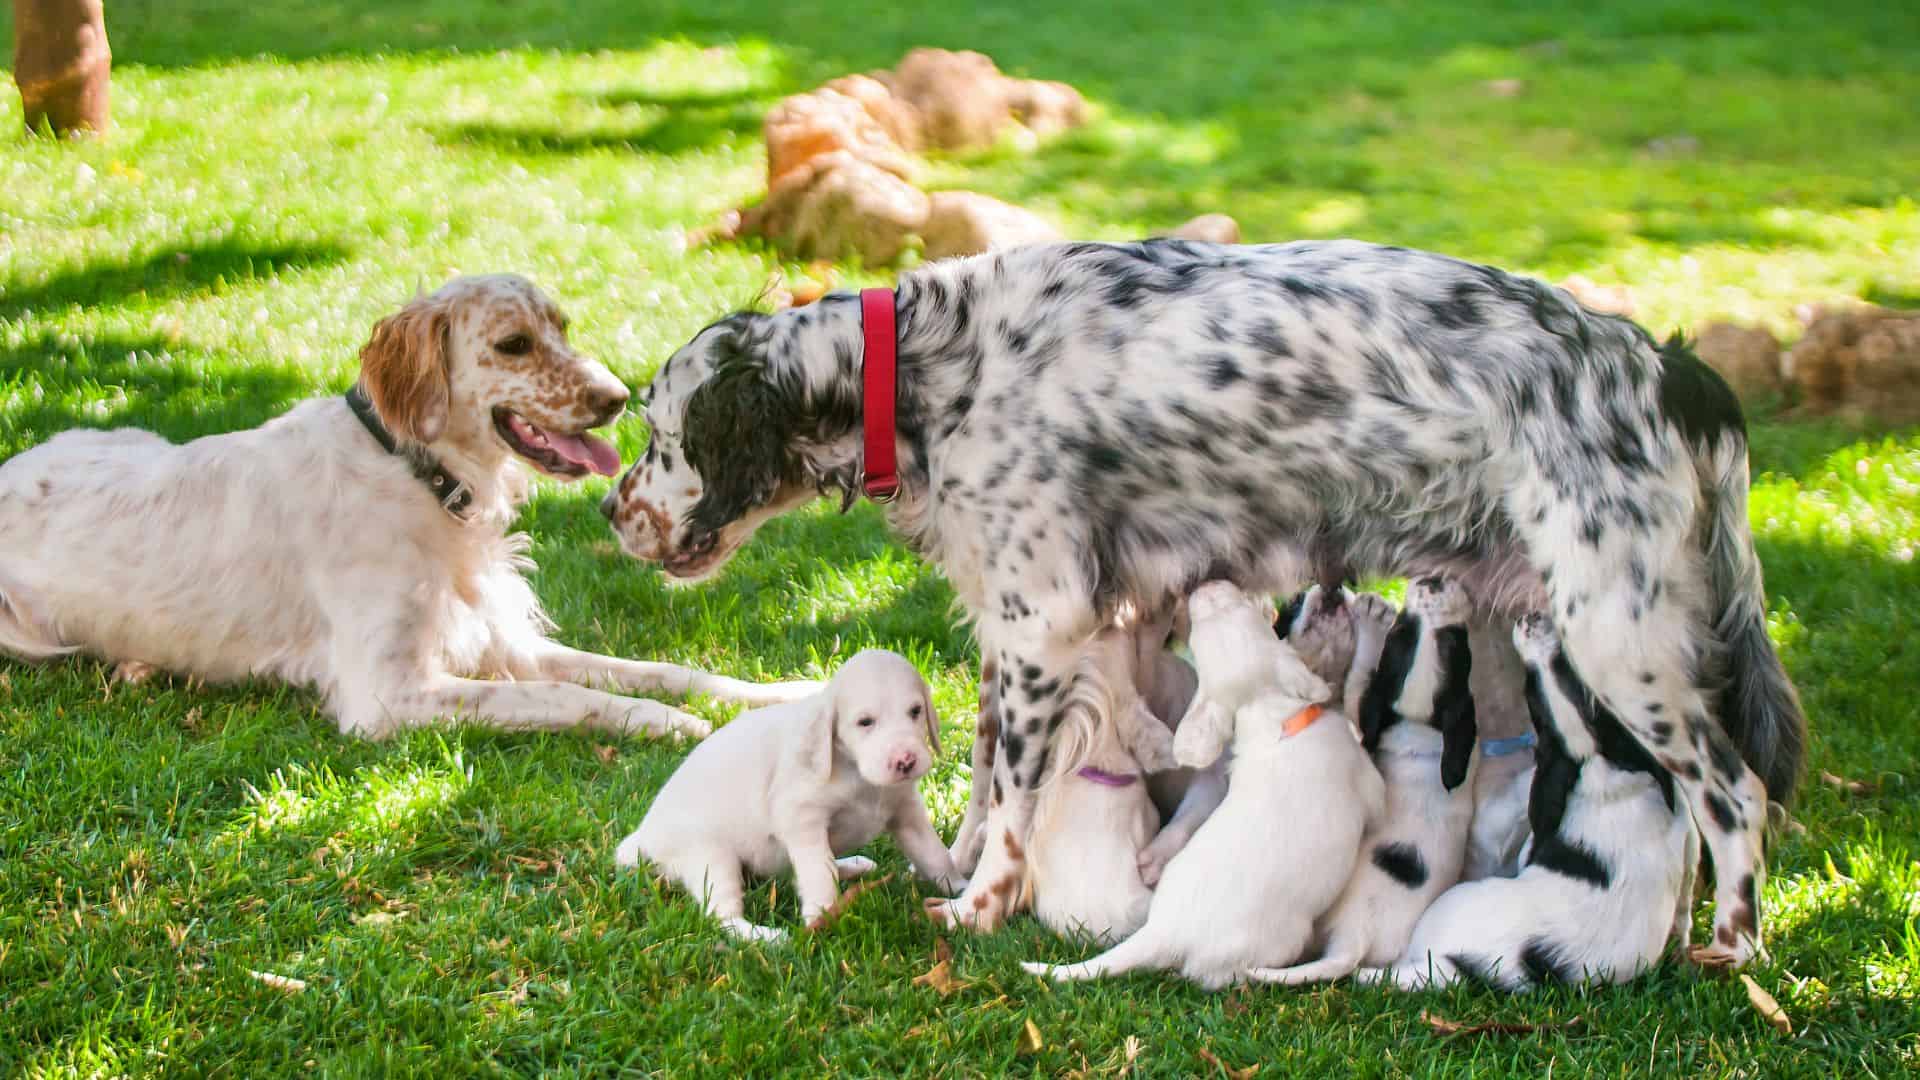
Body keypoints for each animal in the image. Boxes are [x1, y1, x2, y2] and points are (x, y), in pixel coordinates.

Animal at [0, 272, 814, 734]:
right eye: (514, 344)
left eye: (561, 328)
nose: (618, 396)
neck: (422, 477)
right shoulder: (389, 693)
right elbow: (568, 698)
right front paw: (672, 725)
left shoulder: (504, 643)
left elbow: (660, 670)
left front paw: (777, 693)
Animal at [1244, 576, 1482, 980]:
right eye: (1459, 641)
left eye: (1399, 634)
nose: (1434, 581)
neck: (1425, 727)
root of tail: (1353, 940)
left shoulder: (1365, 714)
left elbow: (1360, 686)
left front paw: (1372, 617)